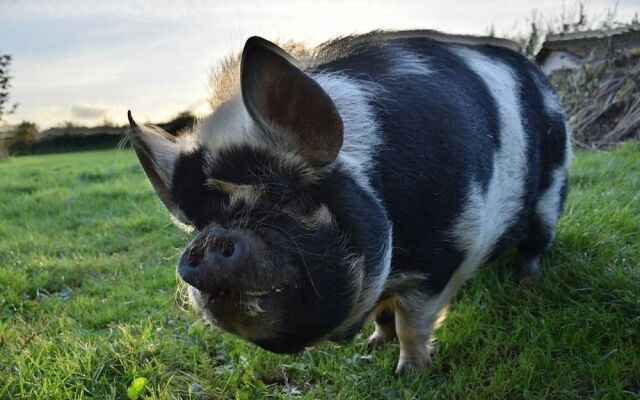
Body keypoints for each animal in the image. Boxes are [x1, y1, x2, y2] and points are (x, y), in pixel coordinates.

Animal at [125, 31, 568, 376]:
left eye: (293, 198)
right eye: (198, 223)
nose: (211, 240)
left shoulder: (444, 255)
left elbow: (412, 323)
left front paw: (410, 373)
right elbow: (384, 314)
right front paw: (374, 345)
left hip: (553, 187)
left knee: (536, 244)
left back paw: (528, 286)